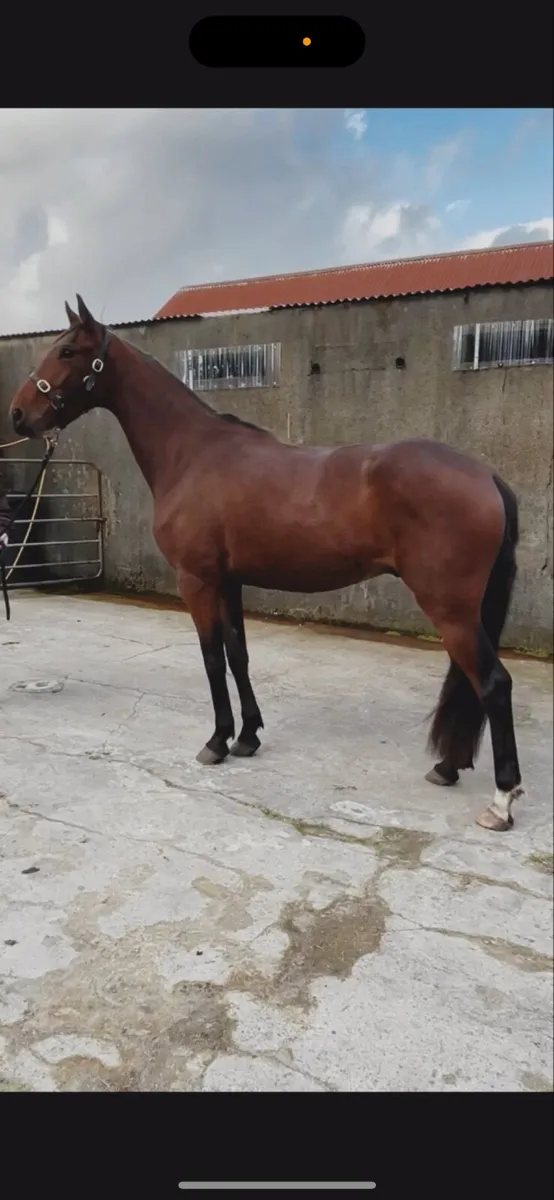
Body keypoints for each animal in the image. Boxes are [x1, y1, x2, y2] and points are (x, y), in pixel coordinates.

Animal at [9, 294, 525, 833]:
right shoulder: (229, 581)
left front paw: (217, 741)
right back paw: (448, 766)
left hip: (449, 609)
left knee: (493, 684)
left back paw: (501, 800)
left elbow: (212, 658)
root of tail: (485, 475)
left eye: (67, 351)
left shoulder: (197, 580)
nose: (19, 414)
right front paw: (248, 736)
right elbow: (238, 655)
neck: (191, 454)